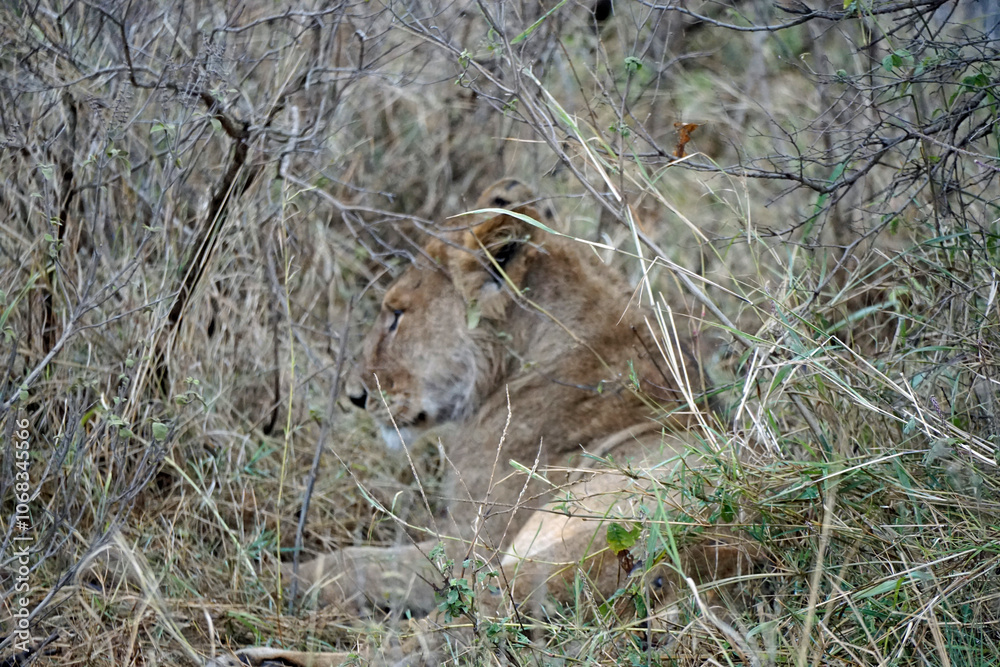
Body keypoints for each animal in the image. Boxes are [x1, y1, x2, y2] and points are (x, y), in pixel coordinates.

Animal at [213, 182, 759, 667]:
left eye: (396, 314)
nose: (355, 396)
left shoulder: (466, 546)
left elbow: (355, 563)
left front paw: (265, 573)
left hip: (533, 563)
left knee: (434, 638)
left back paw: (259, 658)